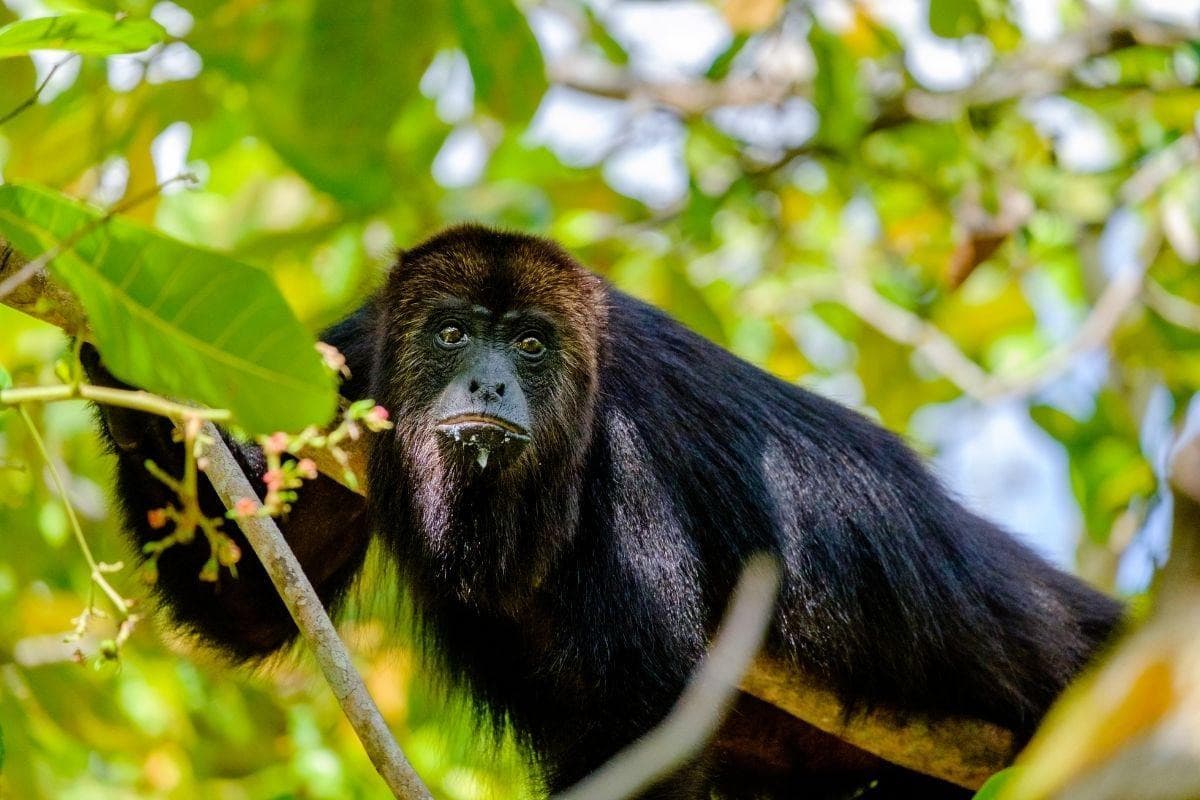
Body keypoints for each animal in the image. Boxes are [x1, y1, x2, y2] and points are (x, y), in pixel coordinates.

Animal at [87, 225, 1123, 800]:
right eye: (452, 333)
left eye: (531, 346)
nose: (489, 381)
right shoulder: (345, 369)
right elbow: (250, 597)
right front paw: (128, 375)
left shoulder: (627, 453)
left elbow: (650, 713)